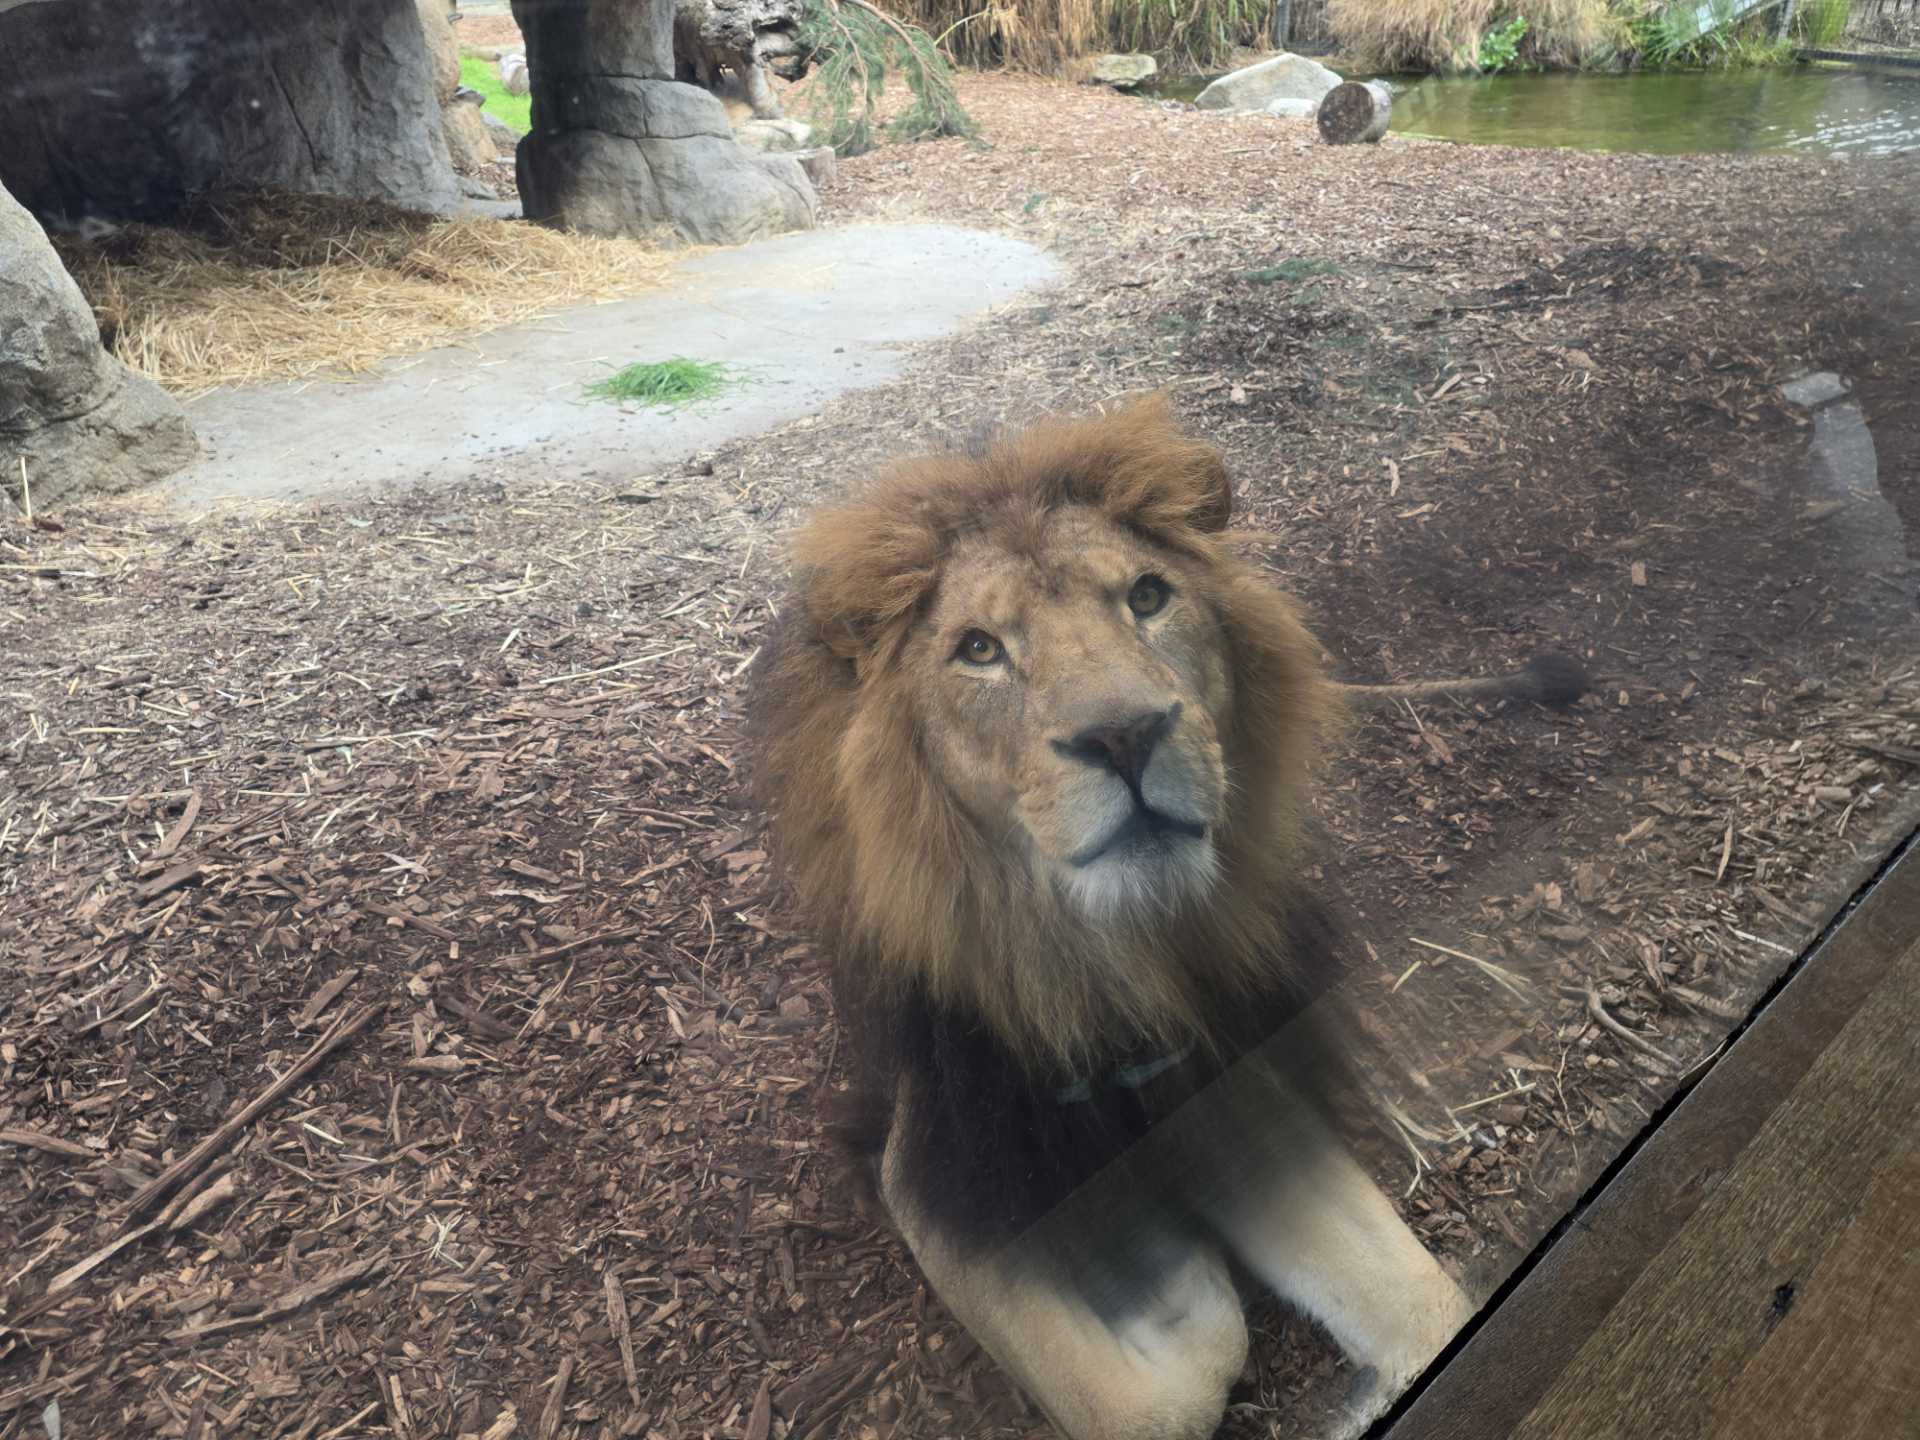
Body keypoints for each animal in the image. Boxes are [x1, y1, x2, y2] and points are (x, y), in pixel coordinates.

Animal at [746, 394, 1587, 1440]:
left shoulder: (1232, 1072)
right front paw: (1183, 1284)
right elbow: (1140, 1407)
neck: (1118, 958)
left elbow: (1431, 1305)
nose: (1125, 735)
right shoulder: (938, 1171)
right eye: (979, 649)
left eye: (1147, 597)